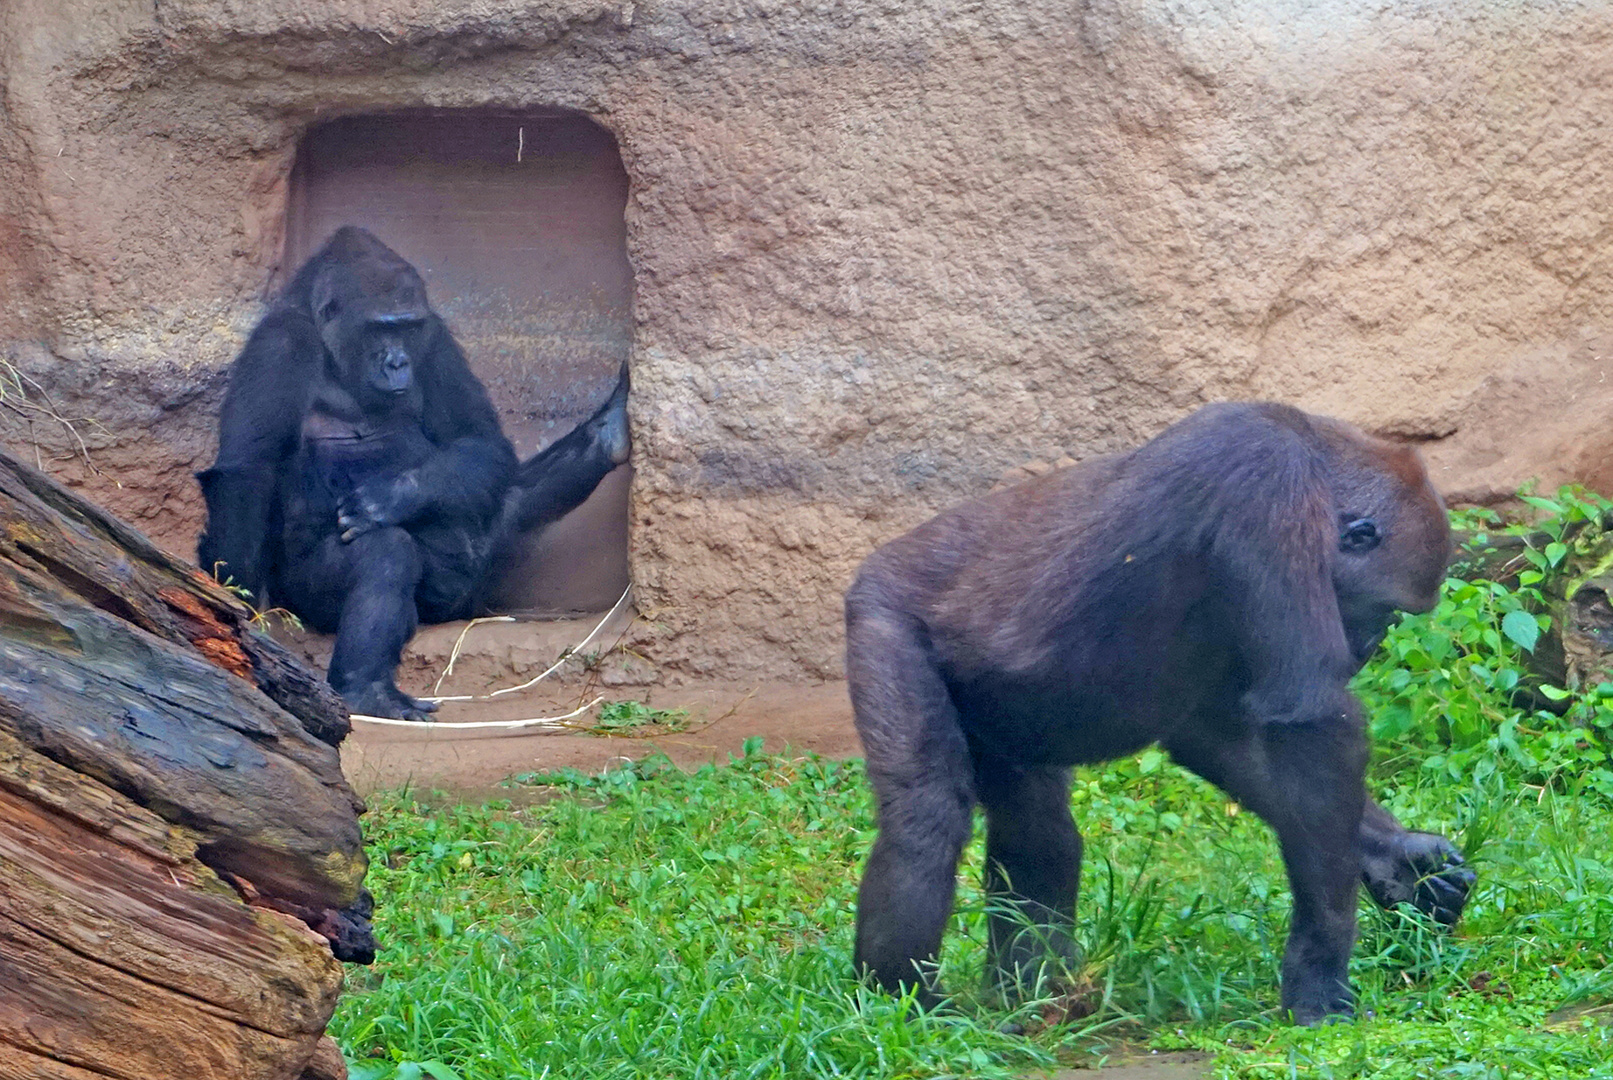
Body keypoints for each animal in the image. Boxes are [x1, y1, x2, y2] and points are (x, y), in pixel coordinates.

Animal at [196, 225, 629, 722]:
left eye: (407, 327)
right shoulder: (279, 345)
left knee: (506, 497)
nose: (398, 362)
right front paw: (238, 607)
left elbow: (479, 439)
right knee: (386, 554)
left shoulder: (435, 335)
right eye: (380, 328)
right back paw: (366, 689)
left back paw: (606, 432)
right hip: (307, 599)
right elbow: (247, 474)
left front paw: (392, 497)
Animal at [851, 404, 1477, 1025]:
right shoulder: (1265, 485)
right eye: (1387, 612)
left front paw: (1402, 861)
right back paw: (902, 1001)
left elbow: (1228, 743)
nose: (1369, 647)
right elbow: (1307, 722)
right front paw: (1319, 971)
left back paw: (1029, 988)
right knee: (925, 819)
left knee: (1037, 830)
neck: (1318, 460)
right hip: (881, 618)